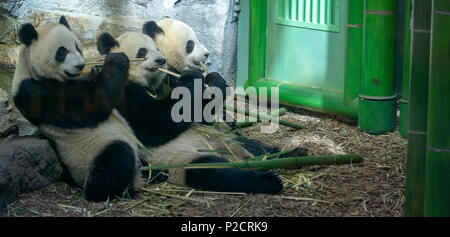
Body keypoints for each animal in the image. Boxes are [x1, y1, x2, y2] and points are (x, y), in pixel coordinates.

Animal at [11, 17, 149, 202]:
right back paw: (115, 190)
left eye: (77, 46)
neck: (28, 70)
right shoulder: (35, 93)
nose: (80, 65)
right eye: (61, 52)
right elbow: (94, 103)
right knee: (116, 159)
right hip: (91, 156)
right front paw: (116, 59)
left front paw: (96, 69)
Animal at [95, 30, 286, 194]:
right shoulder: (124, 93)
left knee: (256, 147)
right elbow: (154, 123)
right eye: (142, 51)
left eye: (158, 48)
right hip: (183, 161)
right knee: (216, 173)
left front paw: (214, 79)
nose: (161, 61)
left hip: (227, 140)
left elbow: (200, 115)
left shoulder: (166, 83)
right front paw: (191, 76)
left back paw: (285, 154)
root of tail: (232, 156)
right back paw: (269, 180)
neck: (148, 84)